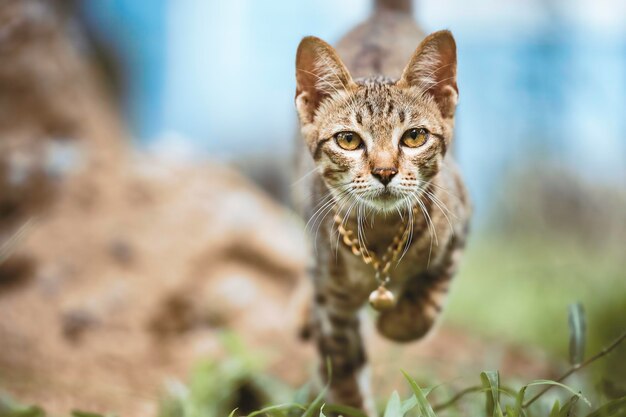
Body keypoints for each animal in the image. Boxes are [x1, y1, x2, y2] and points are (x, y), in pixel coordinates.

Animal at [292, 0, 468, 410]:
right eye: (348, 140)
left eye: (415, 136)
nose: (385, 171)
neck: (380, 236)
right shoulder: (333, 306)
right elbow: (342, 375)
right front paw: (349, 403)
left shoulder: (459, 223)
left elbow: (425, 305)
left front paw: (396, 322)